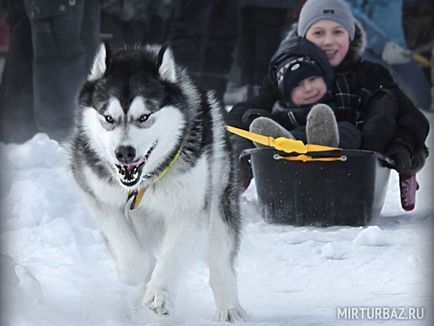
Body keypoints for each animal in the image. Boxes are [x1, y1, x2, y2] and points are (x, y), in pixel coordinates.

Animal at [68, 43, 244, 320]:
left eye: (144, 116)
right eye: (108, 118)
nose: (124, 152)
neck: (143, 185)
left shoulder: (191, 211)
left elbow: (171, 257)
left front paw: (159, 294)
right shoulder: (100, 199)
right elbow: (132, 259)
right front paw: (143, 275)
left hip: (219, 205)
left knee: (220, 262)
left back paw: (229, 307)